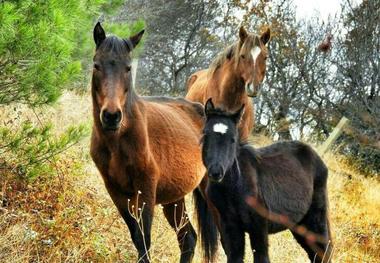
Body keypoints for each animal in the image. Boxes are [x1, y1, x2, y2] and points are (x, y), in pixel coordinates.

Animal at [90, 22, 209, 262]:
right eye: (97, 65)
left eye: (128, 68)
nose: (111, 116)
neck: (118, 140)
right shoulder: (116, 192)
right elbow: (137, 238)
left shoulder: (145, 189)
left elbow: (144, 239)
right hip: (174, 198)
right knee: (188, 238)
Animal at [199, 98, 332, 263]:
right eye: (205, 135)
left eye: (233, 139)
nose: (216, 172)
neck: (236, 188)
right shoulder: (230, 227)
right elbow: (235, 256)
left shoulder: (259, 228)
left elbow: (262, 257)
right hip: (298, 224)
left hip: (315, 219)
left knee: (323, 252)